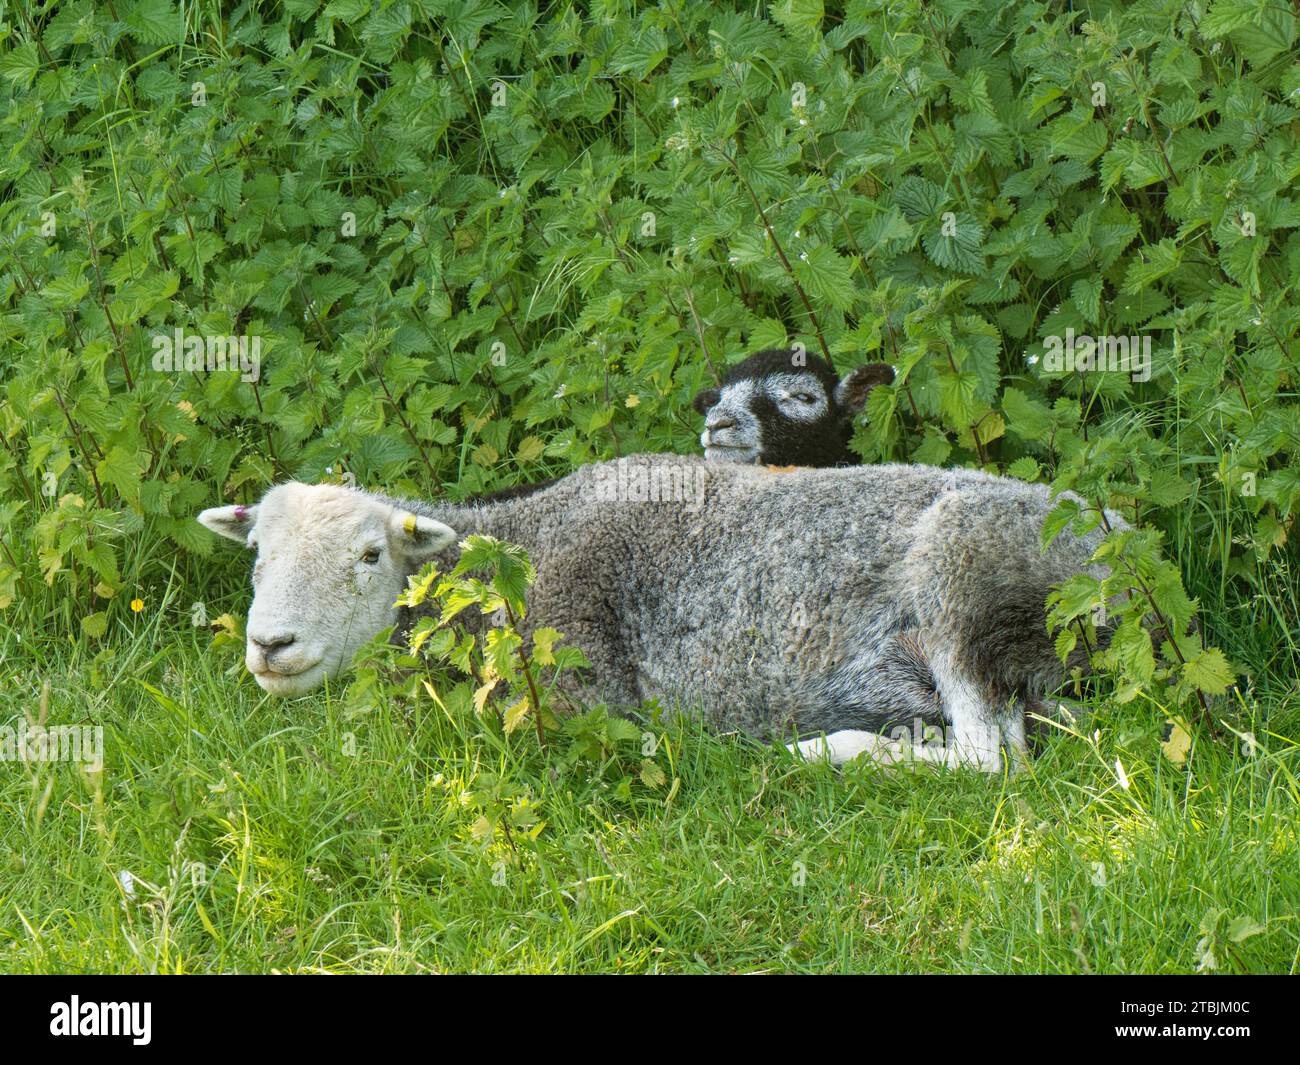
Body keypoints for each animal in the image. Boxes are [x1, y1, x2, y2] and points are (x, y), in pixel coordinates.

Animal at [197, 454, 1117, 772]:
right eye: (257, 554)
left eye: (369, 557)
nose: (270, 644)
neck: (522, 543)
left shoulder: (575, 684)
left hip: (963, 569)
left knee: (994, 759)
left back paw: (823, 750)